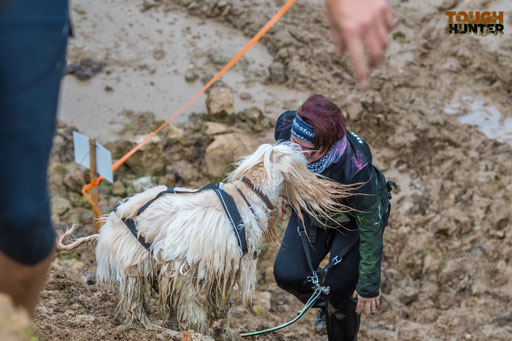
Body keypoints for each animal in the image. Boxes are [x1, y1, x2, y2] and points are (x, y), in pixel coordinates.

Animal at [56, 142, 352, 336]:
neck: (245, 196)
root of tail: (106, 228)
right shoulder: (210, 265)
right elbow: (213, 304)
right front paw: (210, 327)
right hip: (135, 266)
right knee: (134, 306)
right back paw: (148, 326)